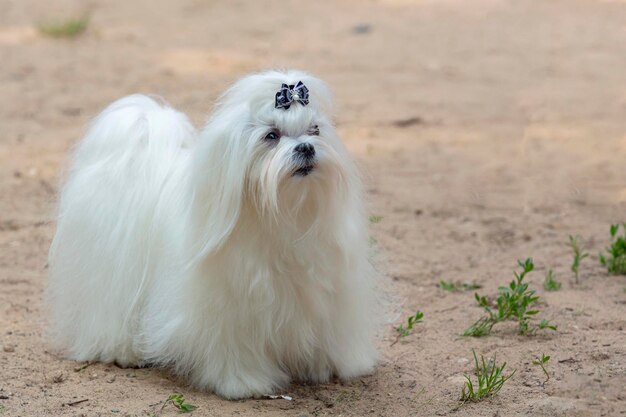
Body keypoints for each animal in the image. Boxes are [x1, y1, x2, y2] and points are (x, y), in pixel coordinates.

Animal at [46, 70, 378, 398]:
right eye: (271, 136)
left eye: (315, 130)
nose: (306, 147)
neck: (280, 215)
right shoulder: (231, 307)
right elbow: (234, 346)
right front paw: (245, 383)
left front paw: (321, 367)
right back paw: (123, 352)